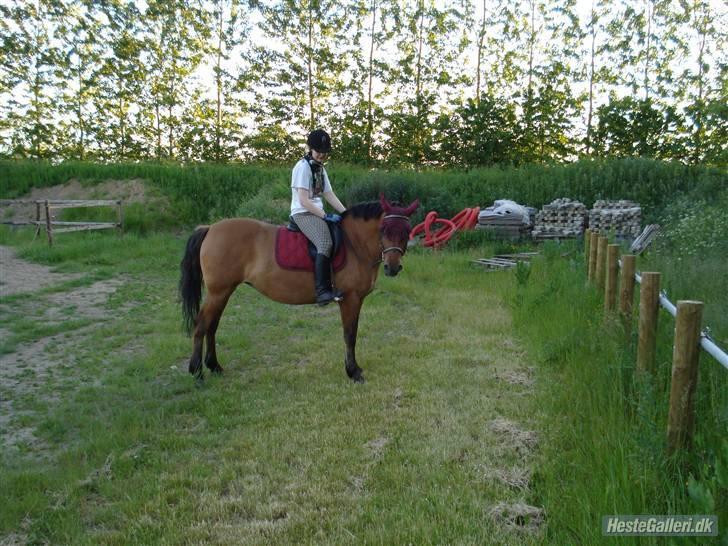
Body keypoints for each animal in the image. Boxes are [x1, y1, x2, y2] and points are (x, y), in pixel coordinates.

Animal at [179, 195, 420, 383]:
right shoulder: (350, 299)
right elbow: (350, 335)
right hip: (218, 292)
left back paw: (214, 366)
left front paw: (353, 369)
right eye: (384, 229)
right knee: (201, 325)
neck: (354, 245)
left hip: (223, 291)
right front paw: (353, 372)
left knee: (212, 326)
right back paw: (197, 371)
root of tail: (210, 228)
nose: (392, 267)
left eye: (407, 230)